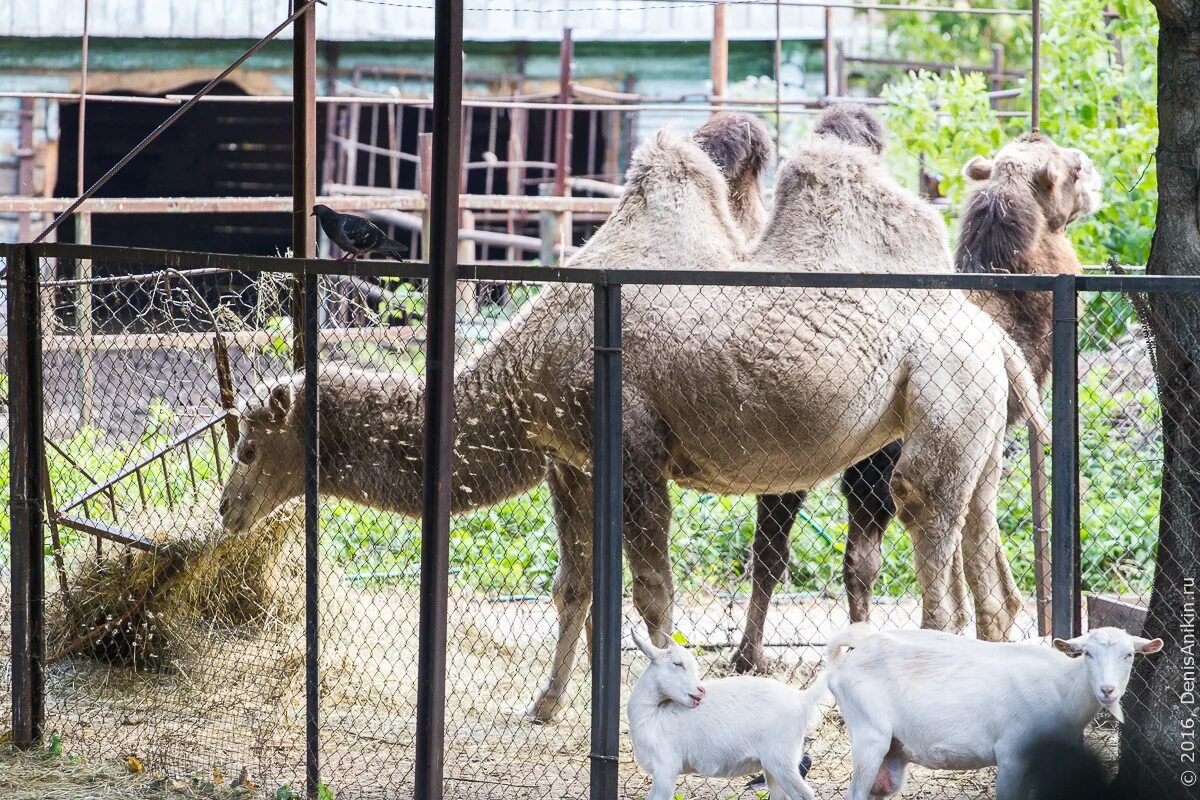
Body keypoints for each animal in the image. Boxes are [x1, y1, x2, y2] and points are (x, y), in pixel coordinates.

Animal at [220, 128, 1046, 724]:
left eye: (250, 445)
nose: (227, 509)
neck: (528, 370)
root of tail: (992, 336)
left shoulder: (636, 451)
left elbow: (652, 594)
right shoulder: (569, 461)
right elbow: (574, 586)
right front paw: (549, 704)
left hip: (934, 407)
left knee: (927, 530)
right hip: (976, 426)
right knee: (983, 547)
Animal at [628, 628, 825, 800]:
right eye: (677, 664)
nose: (701, 690)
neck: (652, 714)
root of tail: (801, 698)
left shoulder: (665, 769)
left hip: (782, 761)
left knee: (805, 794)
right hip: (772, 768)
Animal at [825, 623, 1161, 800]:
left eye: (1129, 655)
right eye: (1087, 653)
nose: (1108, 690)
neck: (1063, 686)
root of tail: (842, 663)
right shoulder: (1012, 754)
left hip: (893, 752)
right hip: (869, 734)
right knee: (855, 792)